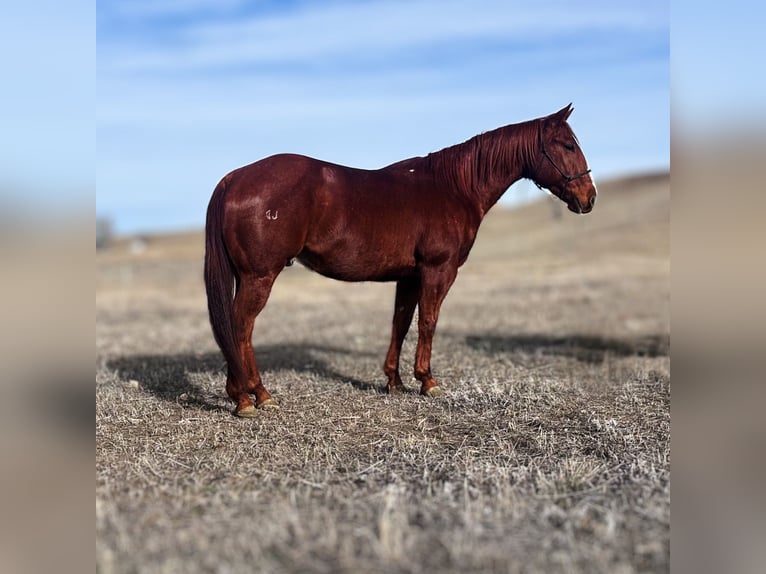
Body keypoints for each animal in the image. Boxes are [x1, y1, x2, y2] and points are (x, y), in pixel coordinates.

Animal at [206, 104, 600, 418]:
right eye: (567, 145)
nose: (589, 198)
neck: (453, 187)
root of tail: (234, 178)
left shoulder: (409, 277)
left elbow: (401, 323)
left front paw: (393, 381)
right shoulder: (439, 270)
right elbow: (428, 322)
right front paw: (428, 381)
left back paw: (254, 394)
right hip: (260, 276)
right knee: (240, 327)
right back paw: (248, 397)